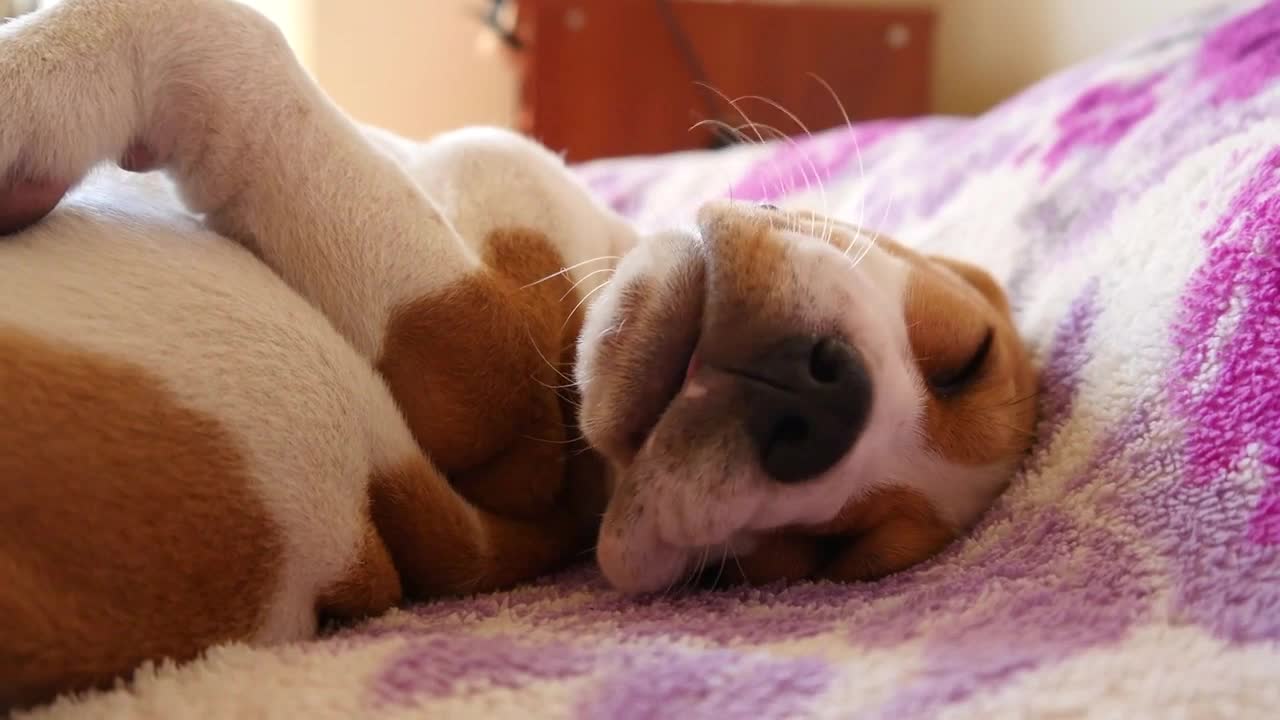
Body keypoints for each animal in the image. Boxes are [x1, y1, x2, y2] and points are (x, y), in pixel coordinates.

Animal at [0, 0, 1039, 707]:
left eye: (811, 558)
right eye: (963, 359)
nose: (819, 406)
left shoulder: (492, 409)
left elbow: (228, 36)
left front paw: (31, 83)